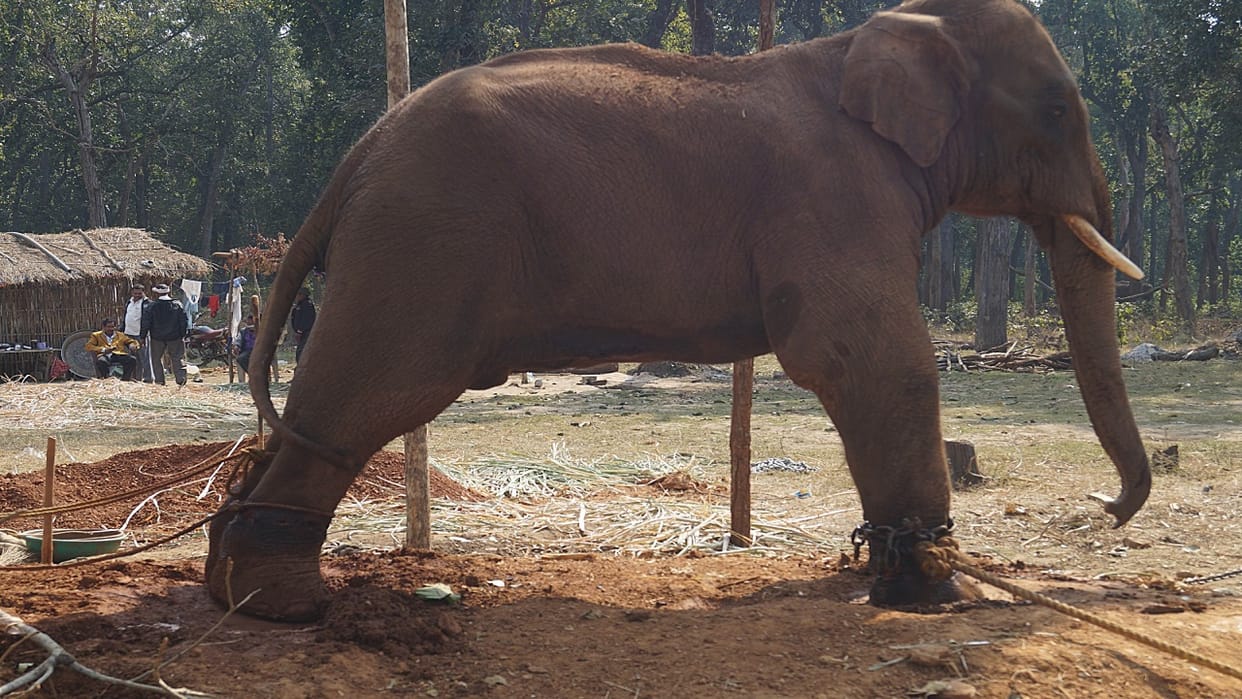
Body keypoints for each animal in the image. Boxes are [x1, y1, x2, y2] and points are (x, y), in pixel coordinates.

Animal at [207, 0, 1151, 621]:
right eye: (1059, 108)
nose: (1106, 507)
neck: (871, 35)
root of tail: (359, 150)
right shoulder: (833, 198)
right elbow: (866, 358)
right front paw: (937, 593)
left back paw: (230, 580)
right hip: (425, 244)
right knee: (375, 391)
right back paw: (285, 606)